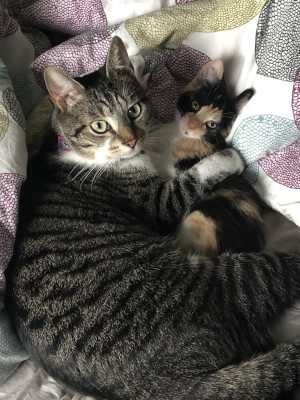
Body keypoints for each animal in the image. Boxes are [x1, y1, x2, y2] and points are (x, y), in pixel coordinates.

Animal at [152, 60, 264, 256]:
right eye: (195, 105)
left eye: (211, 124)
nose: (189, 127)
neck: (177, 136)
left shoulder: (176, 168)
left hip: (202, 216)